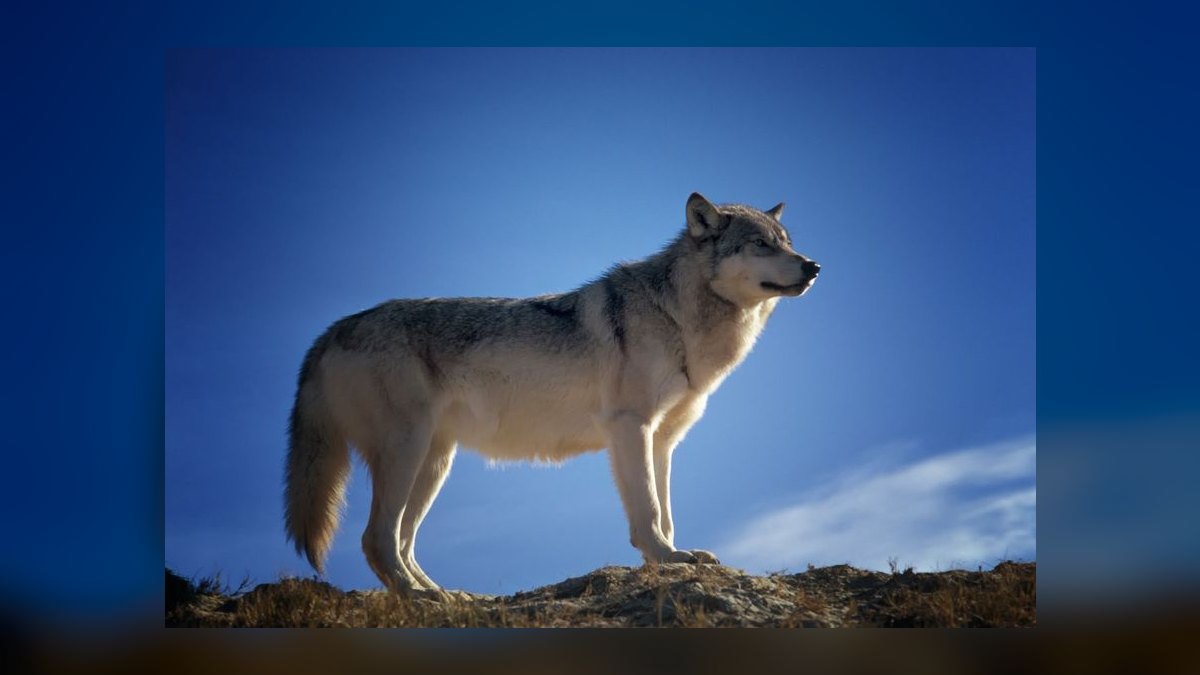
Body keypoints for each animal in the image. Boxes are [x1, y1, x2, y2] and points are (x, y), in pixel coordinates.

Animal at [284, 192, 820, 594]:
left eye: (787, 243)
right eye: (761, 245)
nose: (813, 266)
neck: (676, 317)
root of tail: (330, 331)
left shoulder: (663, 440)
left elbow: (666, 512)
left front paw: (671, 558)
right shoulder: (630, 428)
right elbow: (648, 511)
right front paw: (667, 560)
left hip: (434, 464)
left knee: (401, 541)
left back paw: (445, 596)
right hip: (407, 452)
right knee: (376, 539)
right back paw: (419, 598)